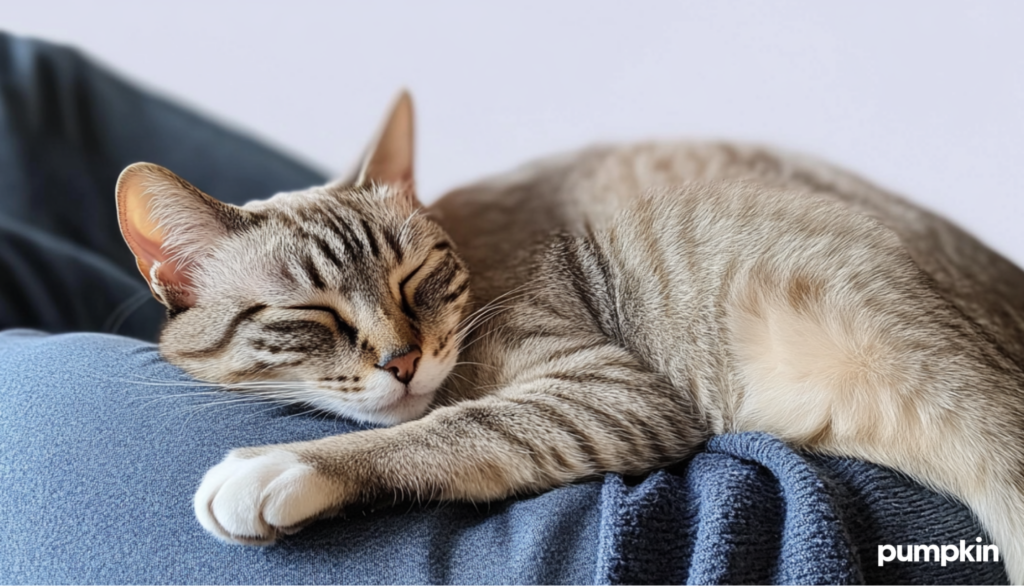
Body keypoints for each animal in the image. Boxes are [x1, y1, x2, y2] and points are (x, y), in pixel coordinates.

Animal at [114, 93, 1024, 581]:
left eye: (414, 280)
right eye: (313, 316)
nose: (403, 359)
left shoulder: (606, 389)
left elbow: (449, 429)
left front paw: (281, 465)